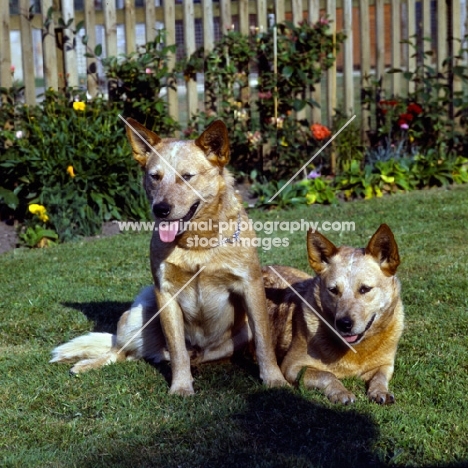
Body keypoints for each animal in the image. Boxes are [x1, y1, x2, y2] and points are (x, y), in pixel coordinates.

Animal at [50, 118, 286, 394]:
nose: (160, 209)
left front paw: (275, 380)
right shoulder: (166, 293)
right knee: (120, 351)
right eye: (155, 177)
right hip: (138, 311)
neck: (197, 245)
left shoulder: (251, 286)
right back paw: (88, 364)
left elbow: (263, 341)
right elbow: (177, 349)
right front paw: (181, 387)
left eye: (187, 176)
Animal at [264, 225, 402, 404]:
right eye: (333, 290)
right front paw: (340, 392)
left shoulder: (386, 364)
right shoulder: (291, 366)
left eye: (365, 289)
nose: (344, 323)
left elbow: (380, 377)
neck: (356, 351)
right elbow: (326, 374)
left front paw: (380, 391)